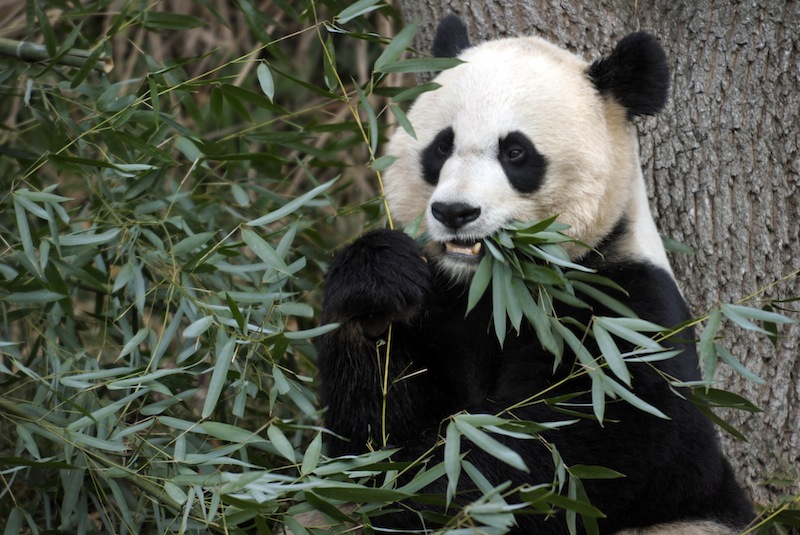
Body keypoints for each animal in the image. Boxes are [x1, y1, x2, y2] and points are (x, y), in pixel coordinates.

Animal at [316, 14, 752, 532]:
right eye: (441, 146)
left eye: (516, 153)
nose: (455, 212)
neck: (492, 287)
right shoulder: (441, 305)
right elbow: (369, 427)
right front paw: (378, 288)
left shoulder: (620, 312)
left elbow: (577, 448)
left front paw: (424, 487)